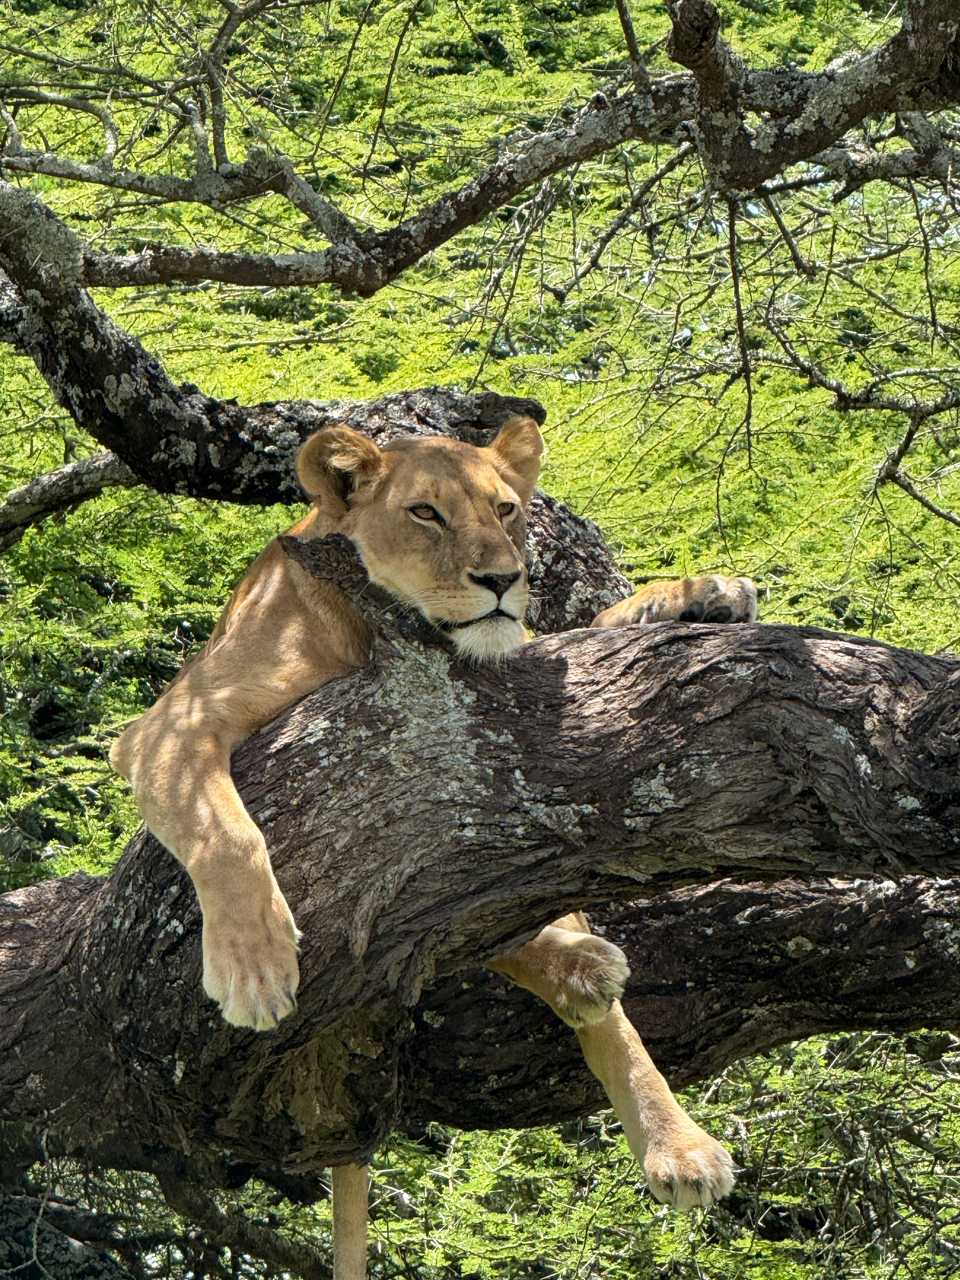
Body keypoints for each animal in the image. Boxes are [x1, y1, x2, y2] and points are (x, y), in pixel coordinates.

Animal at [110, 415, 742, 1279]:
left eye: (506, 509)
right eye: (425, 514)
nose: (503, 579)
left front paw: (690, 596)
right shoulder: (169, 726)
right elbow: (227, 831)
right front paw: (254, 970)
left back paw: (668, 1127)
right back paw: (579, 968)